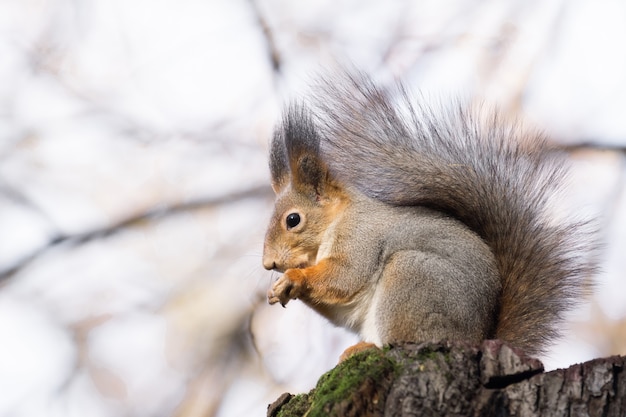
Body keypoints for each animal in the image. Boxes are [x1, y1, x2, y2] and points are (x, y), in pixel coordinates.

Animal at [260, 72, 592, 358]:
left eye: (293, 220)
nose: (268, 264)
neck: (338, 219)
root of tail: (477, 340)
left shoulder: (361, 236)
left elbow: (346, 276)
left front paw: (294, 278)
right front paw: (278, 290)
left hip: (412, 280)